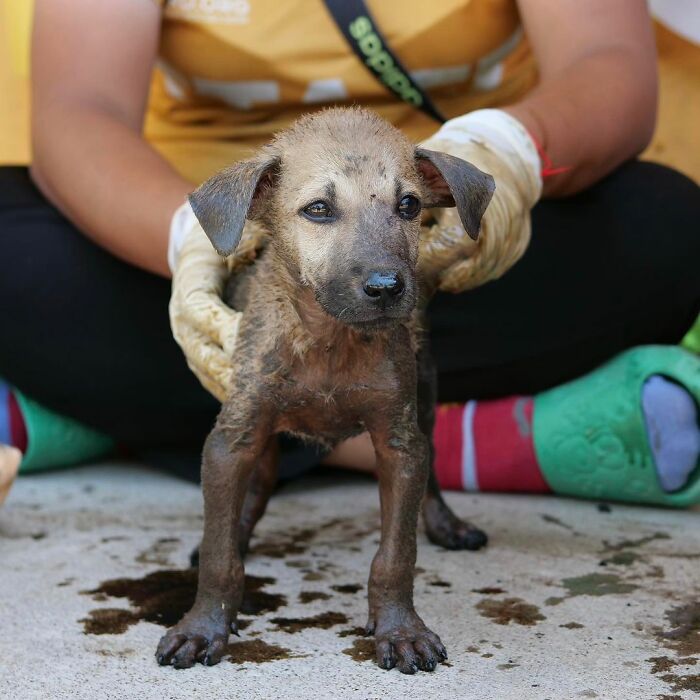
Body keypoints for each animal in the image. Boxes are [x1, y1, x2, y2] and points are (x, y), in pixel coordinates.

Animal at [158, 108, 494, 672]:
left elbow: (395, 554)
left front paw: (400, 630)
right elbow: (220, 556)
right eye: (318, 209)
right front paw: (204, 627)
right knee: (254, 491)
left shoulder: (398, 442)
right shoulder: (233, 437)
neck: (329, 340)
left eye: (409, 206)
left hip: (424, 398)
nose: (386, 287)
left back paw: (445, 523)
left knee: (430, 472)